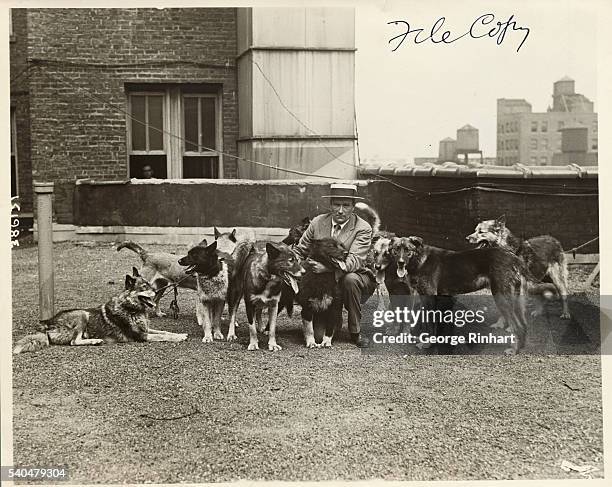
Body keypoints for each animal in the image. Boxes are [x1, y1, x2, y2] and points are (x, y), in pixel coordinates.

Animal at [13, 266, 186, 354]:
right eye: (144, 287)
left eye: (150, 285)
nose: (157, 292)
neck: (130, 308)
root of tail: (47, 324)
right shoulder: (141, 336)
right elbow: (163, 336)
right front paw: (178, 338)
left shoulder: (147, 330)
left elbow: (165, 332)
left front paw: (179, 334)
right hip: (82, 314)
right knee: (74, 341)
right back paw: (95, 340)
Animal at [388, 236, 536, 354]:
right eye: (396, 249)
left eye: (408, 249)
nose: (400, 263)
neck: (419, 259)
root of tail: (515, 259)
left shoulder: (428, 297)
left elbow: (430, 324)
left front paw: (427, 343)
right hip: (517, 300)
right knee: (523, 325)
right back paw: (520, 347)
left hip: (502, 298)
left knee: (517, 326)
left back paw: (514, 350)